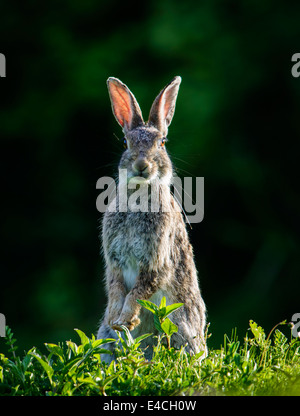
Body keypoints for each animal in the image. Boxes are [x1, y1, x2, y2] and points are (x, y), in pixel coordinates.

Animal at [97, 76, 207, 362]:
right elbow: (115, 287)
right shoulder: (114, 262)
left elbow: (140, 290)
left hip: (177, 324)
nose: (141, 166)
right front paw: (116, 319)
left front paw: (126, 319)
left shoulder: (157, 261)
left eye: (162, 143)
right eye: (125, 143)